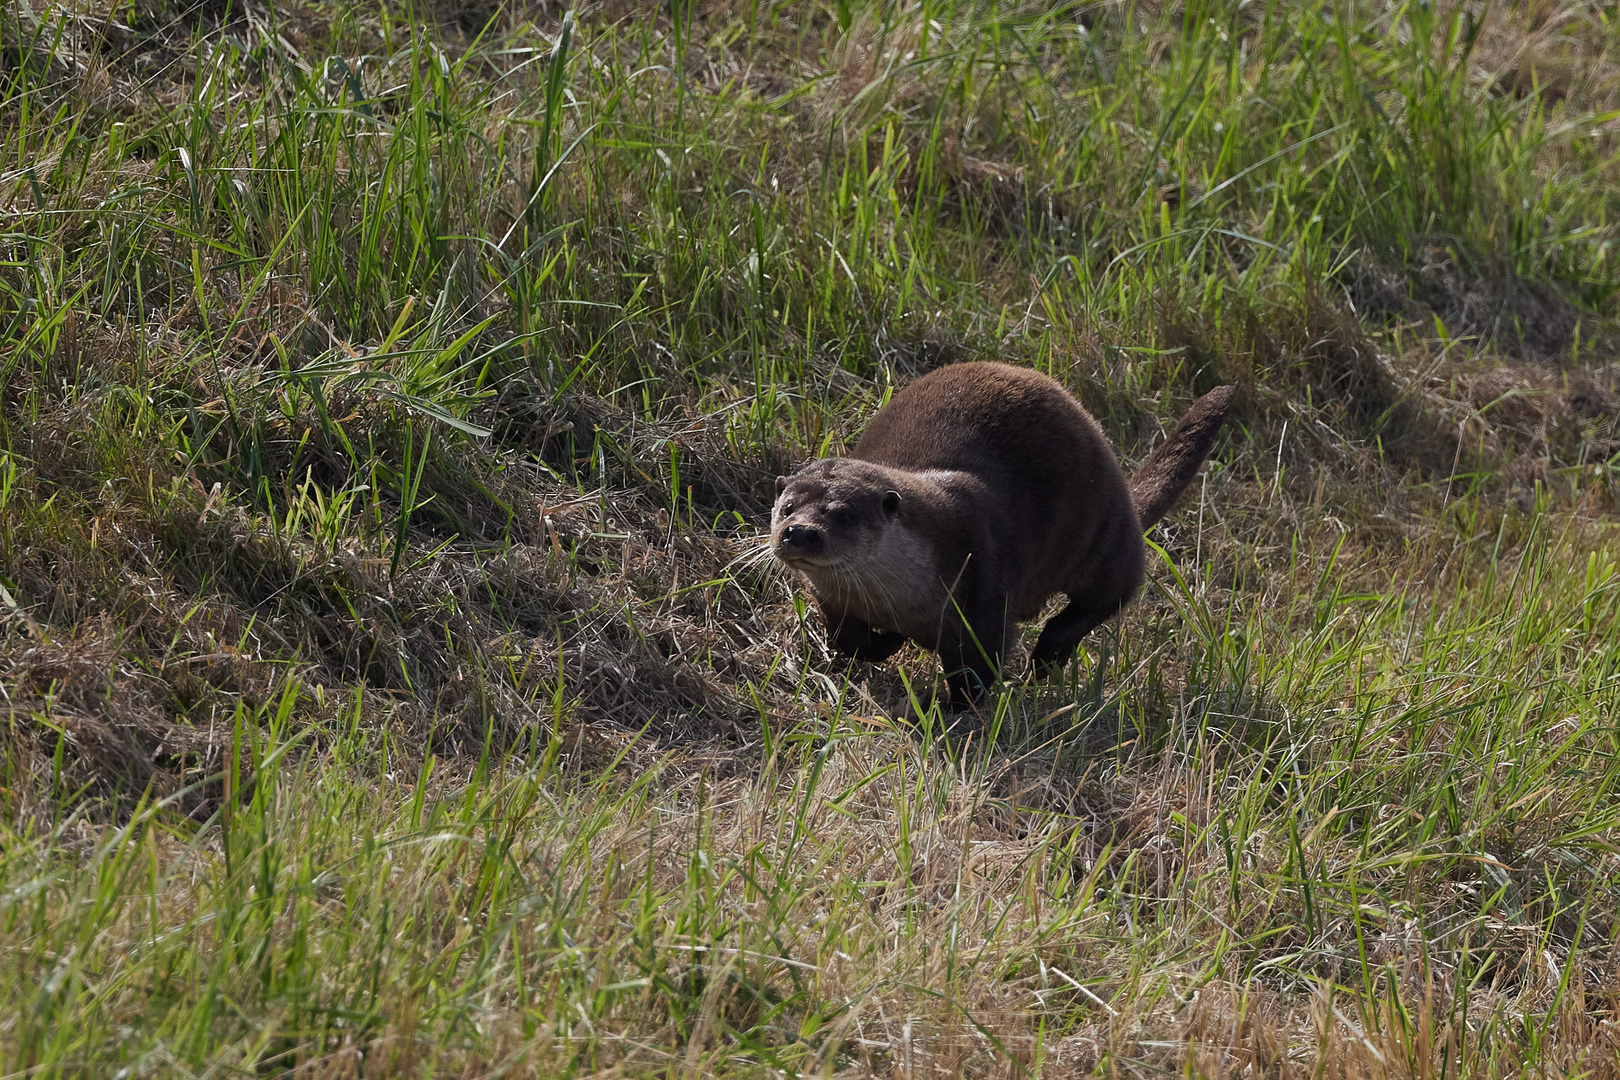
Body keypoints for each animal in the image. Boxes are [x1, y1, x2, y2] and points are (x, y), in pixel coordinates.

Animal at [764, 361, 1231, 709]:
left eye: (842, 515)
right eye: (786, 507)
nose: (799, 532)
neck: (897, 597)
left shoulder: (981, 581)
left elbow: (979, 665)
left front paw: (954, 710)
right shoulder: (832, 600)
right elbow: (848, 642)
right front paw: (888, 642)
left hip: (1107, 534)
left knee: (1107, 596)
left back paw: (1043, 663)